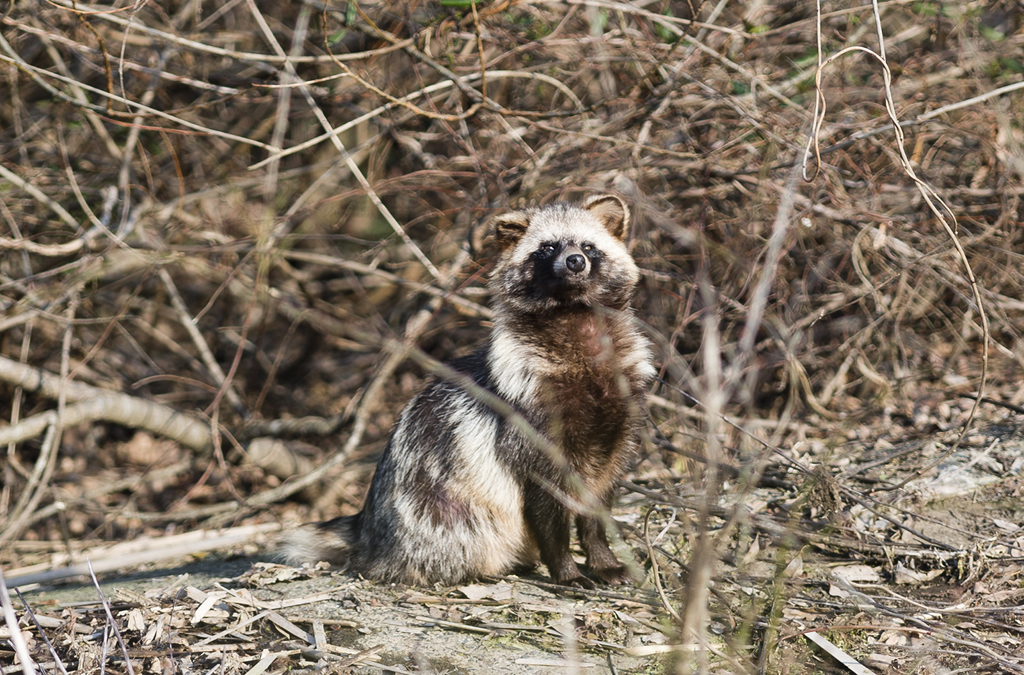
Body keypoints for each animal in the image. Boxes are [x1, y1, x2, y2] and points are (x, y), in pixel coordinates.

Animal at [276, 193, 651, 585]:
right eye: (547, 248)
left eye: (589, 246)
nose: (575, 261)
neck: (577, 318)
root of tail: (370, 534)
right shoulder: (530, 416)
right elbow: (546, 501)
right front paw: (564, 566)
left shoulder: (618, 418)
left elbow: (600, 498)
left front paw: (602, 556)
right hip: (442, 518)